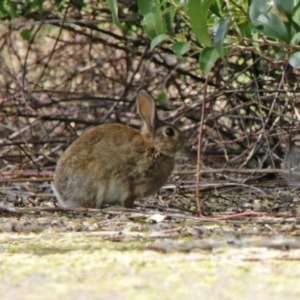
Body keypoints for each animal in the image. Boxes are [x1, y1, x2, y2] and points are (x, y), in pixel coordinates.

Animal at [52, 91, 190, 209]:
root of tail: (62, 195)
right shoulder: (132, 183)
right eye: (169, 132)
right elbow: (128, 198)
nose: (188, 147)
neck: (154, 147)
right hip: (96, 180)